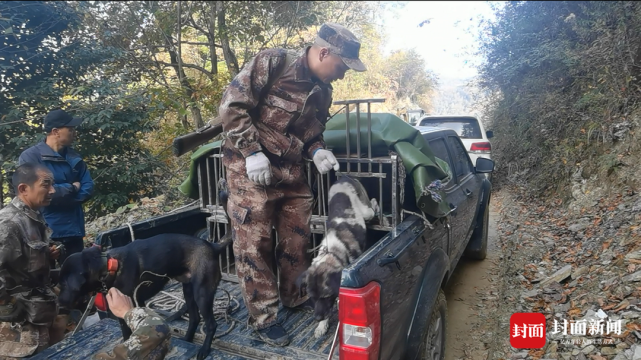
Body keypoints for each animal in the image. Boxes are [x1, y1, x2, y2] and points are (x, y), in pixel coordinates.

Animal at [296, 174, 378, 338]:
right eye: (312, 297)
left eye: (326, 296)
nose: (317, 318)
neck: (332, 253)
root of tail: (345, 177)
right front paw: (322, 325)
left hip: (366, 210)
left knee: (371, 206)